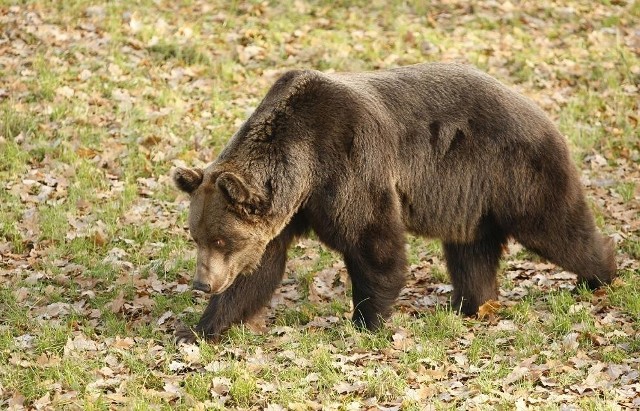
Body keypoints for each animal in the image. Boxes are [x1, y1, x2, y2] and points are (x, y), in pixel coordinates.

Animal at [172, 62, 616, 344]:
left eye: (221, 240)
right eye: (197, 237)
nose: (201, 282)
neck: (301, 168)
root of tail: (538, 108)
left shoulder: (347, 164)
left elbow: (373, 241)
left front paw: (367, 320)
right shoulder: (288, 211)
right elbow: (257, 271)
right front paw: (198, 329)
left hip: (514, 170)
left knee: (556, 226)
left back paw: (600, 274)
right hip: (469, 198)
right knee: (471, 251)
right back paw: (472, 304)